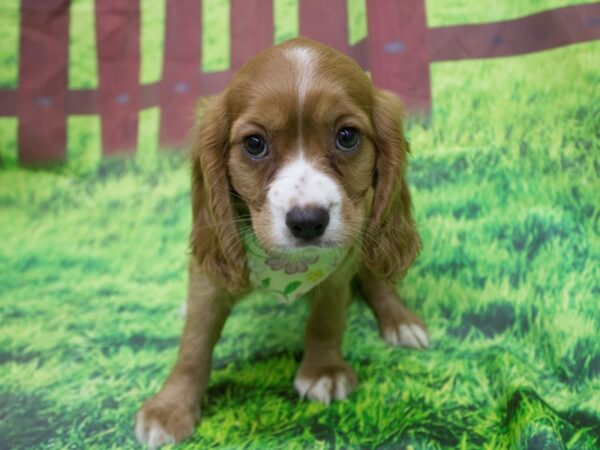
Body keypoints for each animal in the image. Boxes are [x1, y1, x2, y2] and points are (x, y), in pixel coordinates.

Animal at [136, 37, 426, 448]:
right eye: (254, 144)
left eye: (347, 137)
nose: (308, 222)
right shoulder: (209, 275)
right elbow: (195, 339)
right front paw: (171, 407)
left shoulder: (342, 262)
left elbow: (327, 317)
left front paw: (323, 370)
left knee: (376, 278)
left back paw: (400, 321)